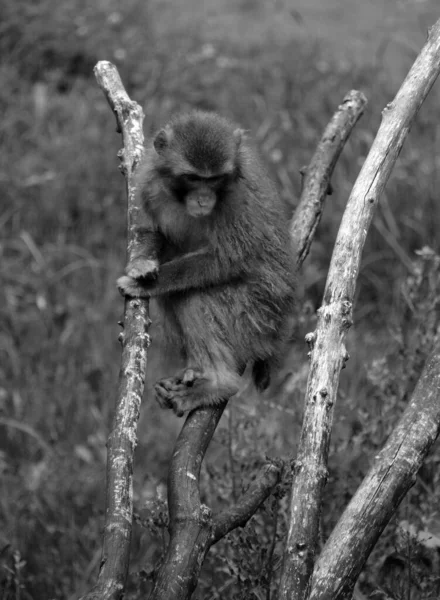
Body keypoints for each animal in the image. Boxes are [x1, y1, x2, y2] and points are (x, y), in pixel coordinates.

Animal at [117, 110, 296, 414]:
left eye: (214, 180)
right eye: (192, 177)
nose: (203, 198)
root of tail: (277, 336)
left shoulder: (237, 199)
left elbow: (227, 260)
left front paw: (145, 285)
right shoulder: (150, 184)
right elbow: (154, 231)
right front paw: (141, 263)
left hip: (255, 316)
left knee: (191, 296)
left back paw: (218, 384)